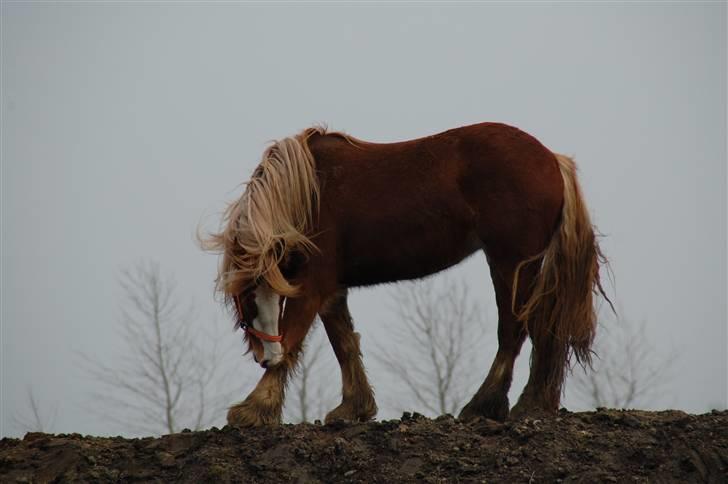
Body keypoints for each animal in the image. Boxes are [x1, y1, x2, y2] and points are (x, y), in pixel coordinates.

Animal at [205, 123, 608, 426]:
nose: (264, 358)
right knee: (543, 329)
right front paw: (354, 407)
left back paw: (488, 405)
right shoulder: (332, 289)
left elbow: (293, 337)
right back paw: (535, 403)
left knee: (515, 329)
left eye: (245, 300)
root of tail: (552, 160)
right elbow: (344, 343)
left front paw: (254, 408)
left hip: (510, 262)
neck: (307, 194)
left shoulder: (311, 284)